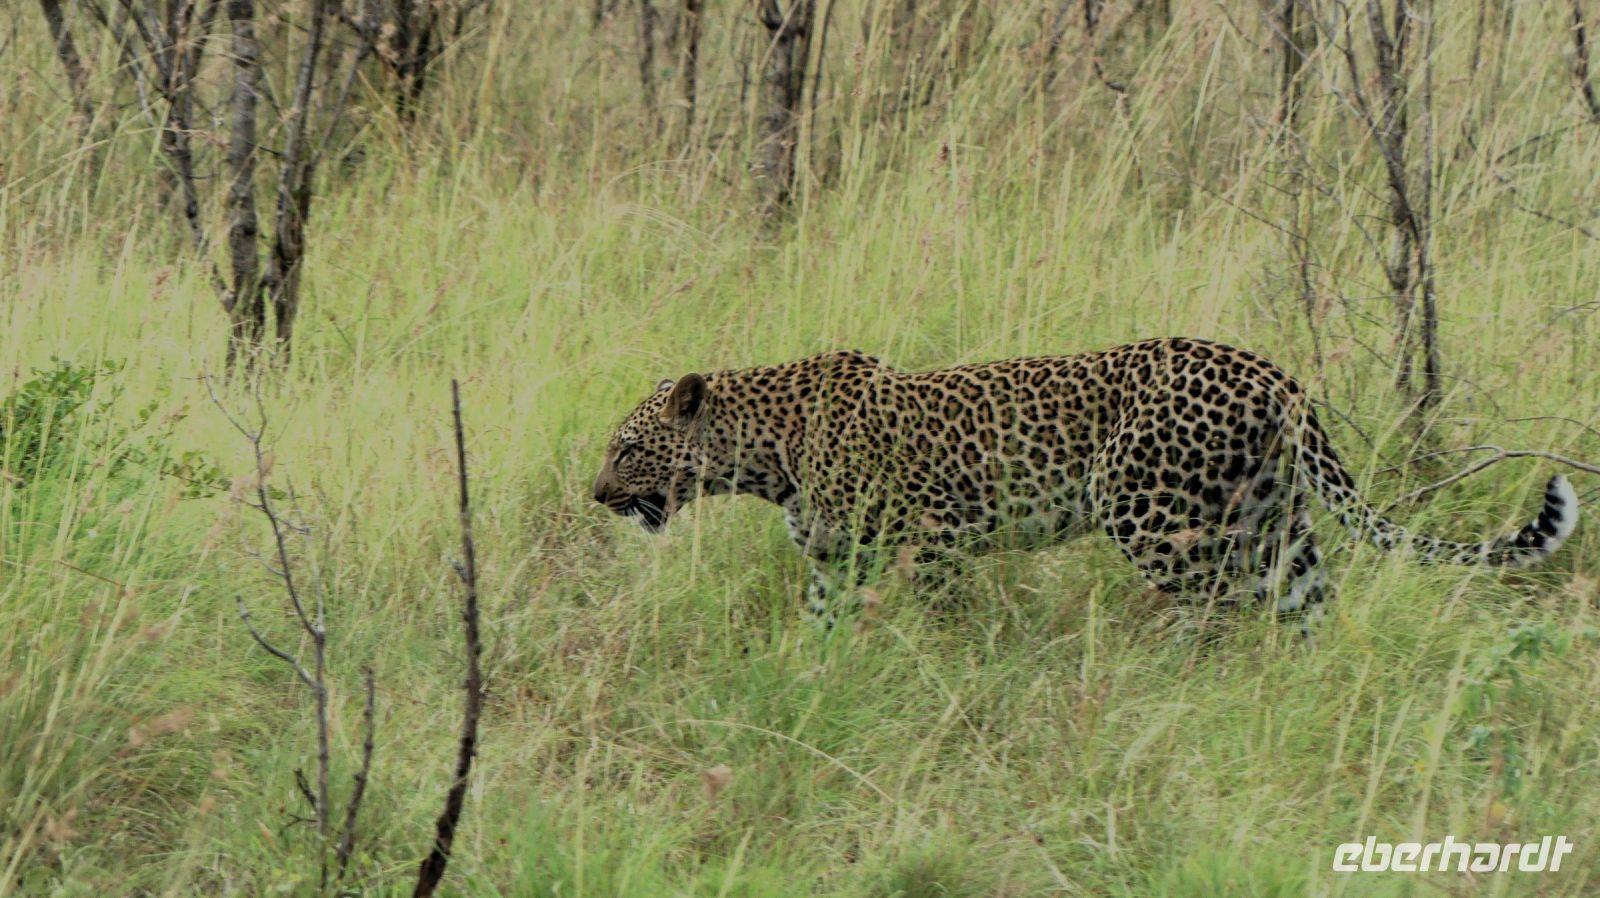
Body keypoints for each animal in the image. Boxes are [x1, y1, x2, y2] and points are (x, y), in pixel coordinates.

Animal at [591, 337, 1578, 630]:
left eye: (626, 448)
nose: (597, 496)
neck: (764, 455)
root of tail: (1269, 369)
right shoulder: (837, 563)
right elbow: (821, 629)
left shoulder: (937, 537)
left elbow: (947, 621)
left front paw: (954, 670)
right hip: (1276, 522)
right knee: (1306, 606)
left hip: (1149, 512)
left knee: (1226, 606)